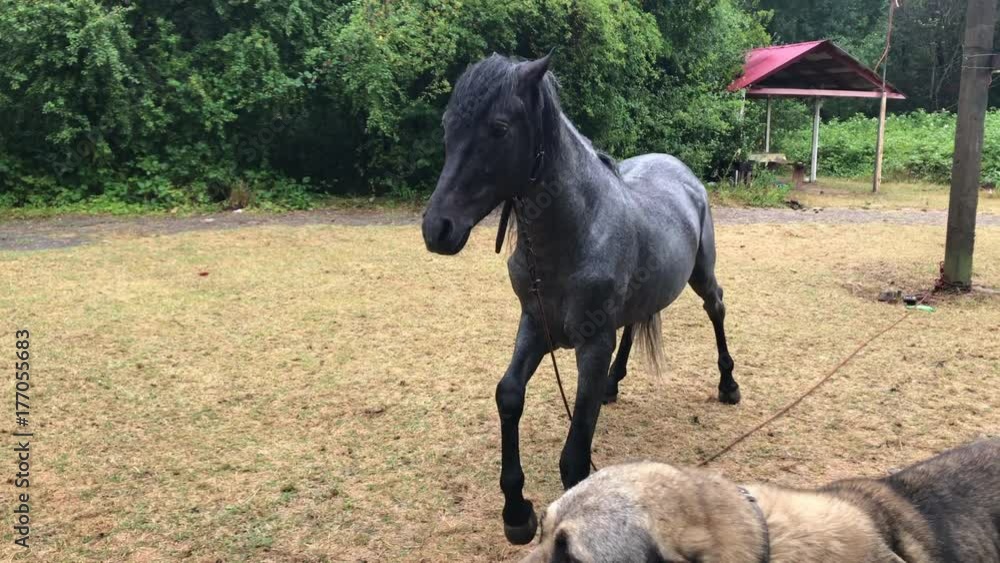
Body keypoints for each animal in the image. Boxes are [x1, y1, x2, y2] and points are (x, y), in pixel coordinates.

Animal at [421, 53, 740, 545]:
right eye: (447, 125)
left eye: (499, 128)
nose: (437, 228)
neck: (576, 231)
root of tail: (680, 171)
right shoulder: (535, 326)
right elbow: (509, 394)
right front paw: (516, 511)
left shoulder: (591, 344)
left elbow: (575, 453)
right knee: (636, 321)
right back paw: (614, 383)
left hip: (702, 275)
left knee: (716, 308)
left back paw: (728, 385)